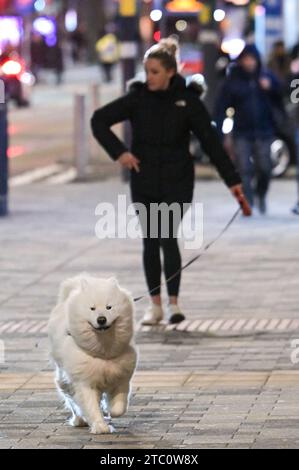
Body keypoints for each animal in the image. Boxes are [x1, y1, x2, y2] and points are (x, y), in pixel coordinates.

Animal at [48, 274, 138, 436]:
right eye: (92, 308)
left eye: (109, 307)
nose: (101, 319)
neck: (103, 352)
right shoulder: (84, 382)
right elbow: (91, 407)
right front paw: (100, 427)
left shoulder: (121, 377)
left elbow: (120, 405)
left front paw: (110, 410)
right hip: (65, 378)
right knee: (71, 399)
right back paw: (79, 419)